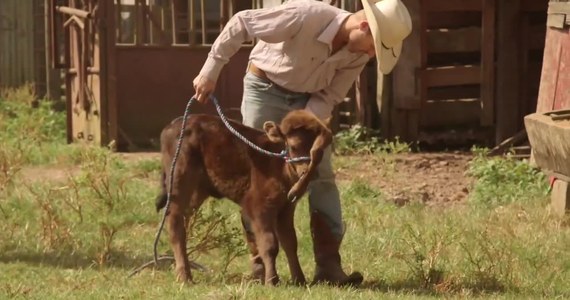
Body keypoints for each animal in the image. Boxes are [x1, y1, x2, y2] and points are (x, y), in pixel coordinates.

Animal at [155, 109, 332, 284]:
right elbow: (269, 244)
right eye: (294, 146)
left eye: (319, 149)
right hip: (179, 180)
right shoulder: (259, 206)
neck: (278, 164)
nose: (308, 172)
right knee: (175, 221)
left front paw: (299, 279)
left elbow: (290, 242)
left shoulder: (286, 208)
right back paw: (184, 277)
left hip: (198, 190)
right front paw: (272, 280)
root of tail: (173, 125)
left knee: (185, 218)